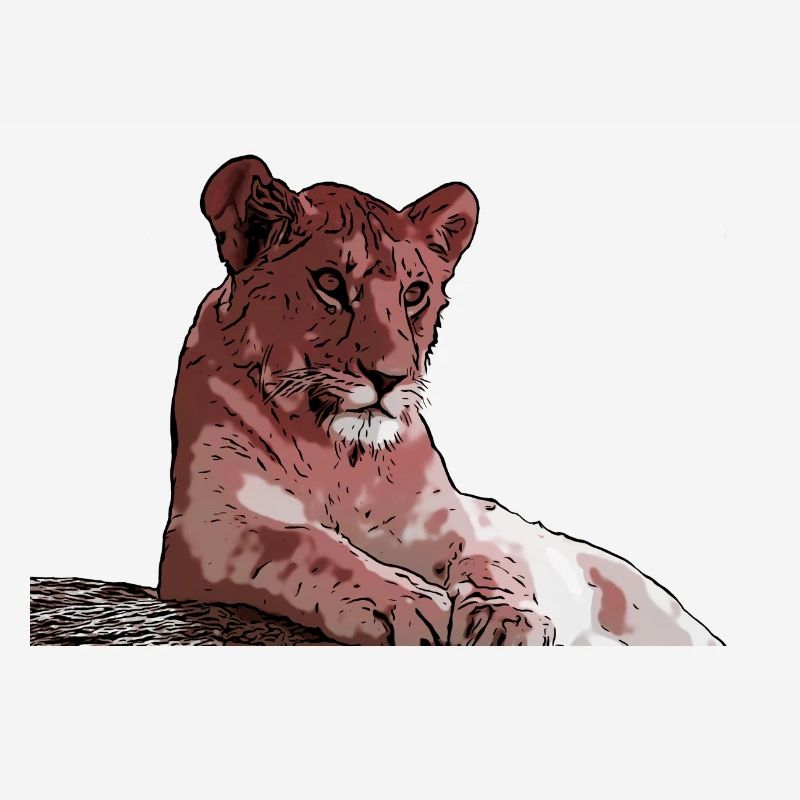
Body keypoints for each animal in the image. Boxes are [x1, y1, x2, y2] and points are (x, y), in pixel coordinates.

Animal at [157, 155, 723, 645]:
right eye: (330, 283)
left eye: (414, 294)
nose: (388, 378)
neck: (340, 458)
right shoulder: (211, 525)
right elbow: (306, 544)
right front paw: (406, 604)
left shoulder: (451, 518)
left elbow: (492, 560)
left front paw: (507, 618)